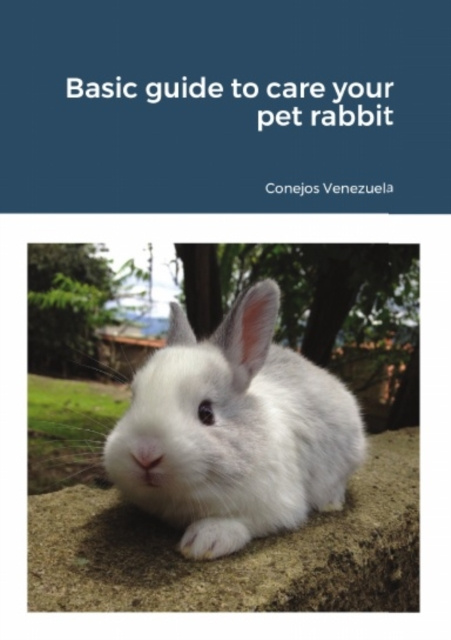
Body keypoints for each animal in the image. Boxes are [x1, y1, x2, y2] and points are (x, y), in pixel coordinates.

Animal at [103, 279, 366, 560]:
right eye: (133, 399)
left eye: (206, 413)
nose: (145, 454)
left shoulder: (277, 505)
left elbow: (244, 521)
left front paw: (204, 541)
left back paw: (331, 503)